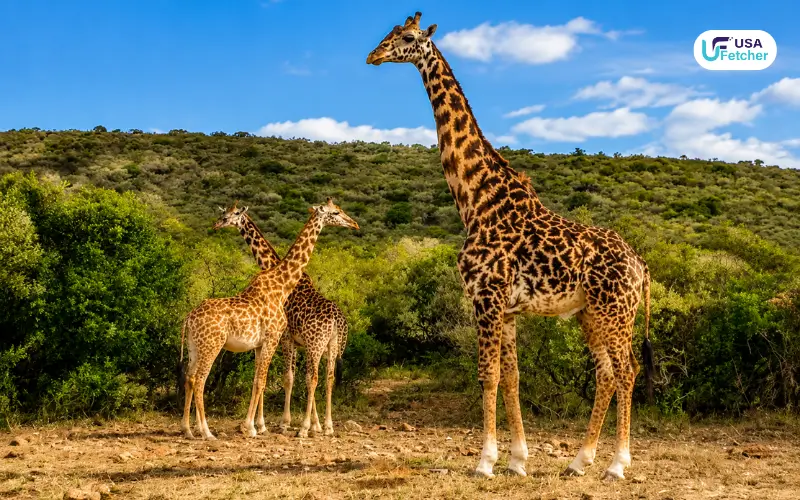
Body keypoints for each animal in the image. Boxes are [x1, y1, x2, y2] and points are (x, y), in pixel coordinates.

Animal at [180, 198, 359, 440]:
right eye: (336, 212)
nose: (354, 223)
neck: (281, 284)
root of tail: (189, 317)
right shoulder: (277, 339)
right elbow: (268, 380)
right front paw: (256, 426)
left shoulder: (266, 342)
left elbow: (260, 380)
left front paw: (257, 425)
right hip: (213, 345)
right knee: (199, 380)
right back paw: (206, 431)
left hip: (196, 346)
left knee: (189, 378)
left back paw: (189, 429)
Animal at [367, 12, 654, 481]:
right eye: (388, 34)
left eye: (406, 38)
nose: (373, 56)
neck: (475, 200)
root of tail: (642, 266)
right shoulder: (508, 308)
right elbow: (513, 377)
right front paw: (518, 459)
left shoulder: (485, 297)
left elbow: (488, 375)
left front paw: (485, 461)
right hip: (591, 314)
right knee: (607, 375)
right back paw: (579, 461)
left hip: (616, 311)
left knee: (627, 370)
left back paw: (616, 465)